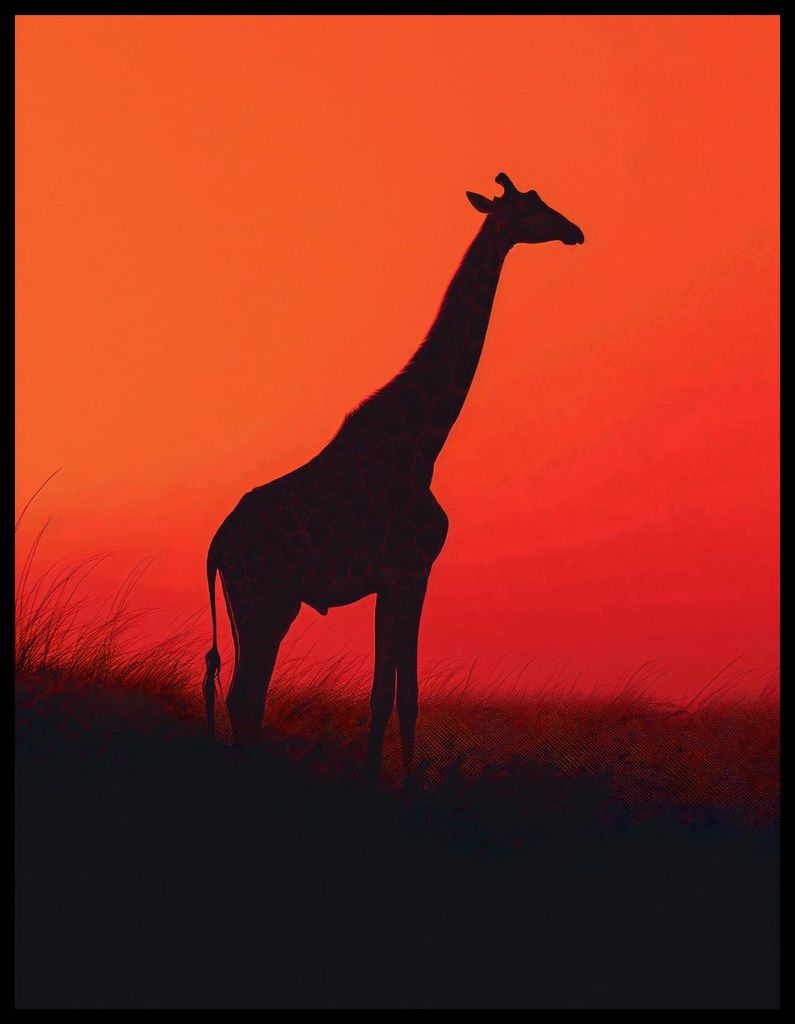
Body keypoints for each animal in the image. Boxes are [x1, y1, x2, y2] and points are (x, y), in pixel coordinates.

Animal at [202, 172, 584, 775]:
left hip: (249, 605)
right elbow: (403, 695)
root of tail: (217, 544)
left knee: (245, 697)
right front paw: (396, 785)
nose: (574, 231)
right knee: (245, 696)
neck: (425, 441)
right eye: (529, 209)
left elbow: (387, 692)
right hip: (267, 600)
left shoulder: (391, 580)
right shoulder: (412, 569)